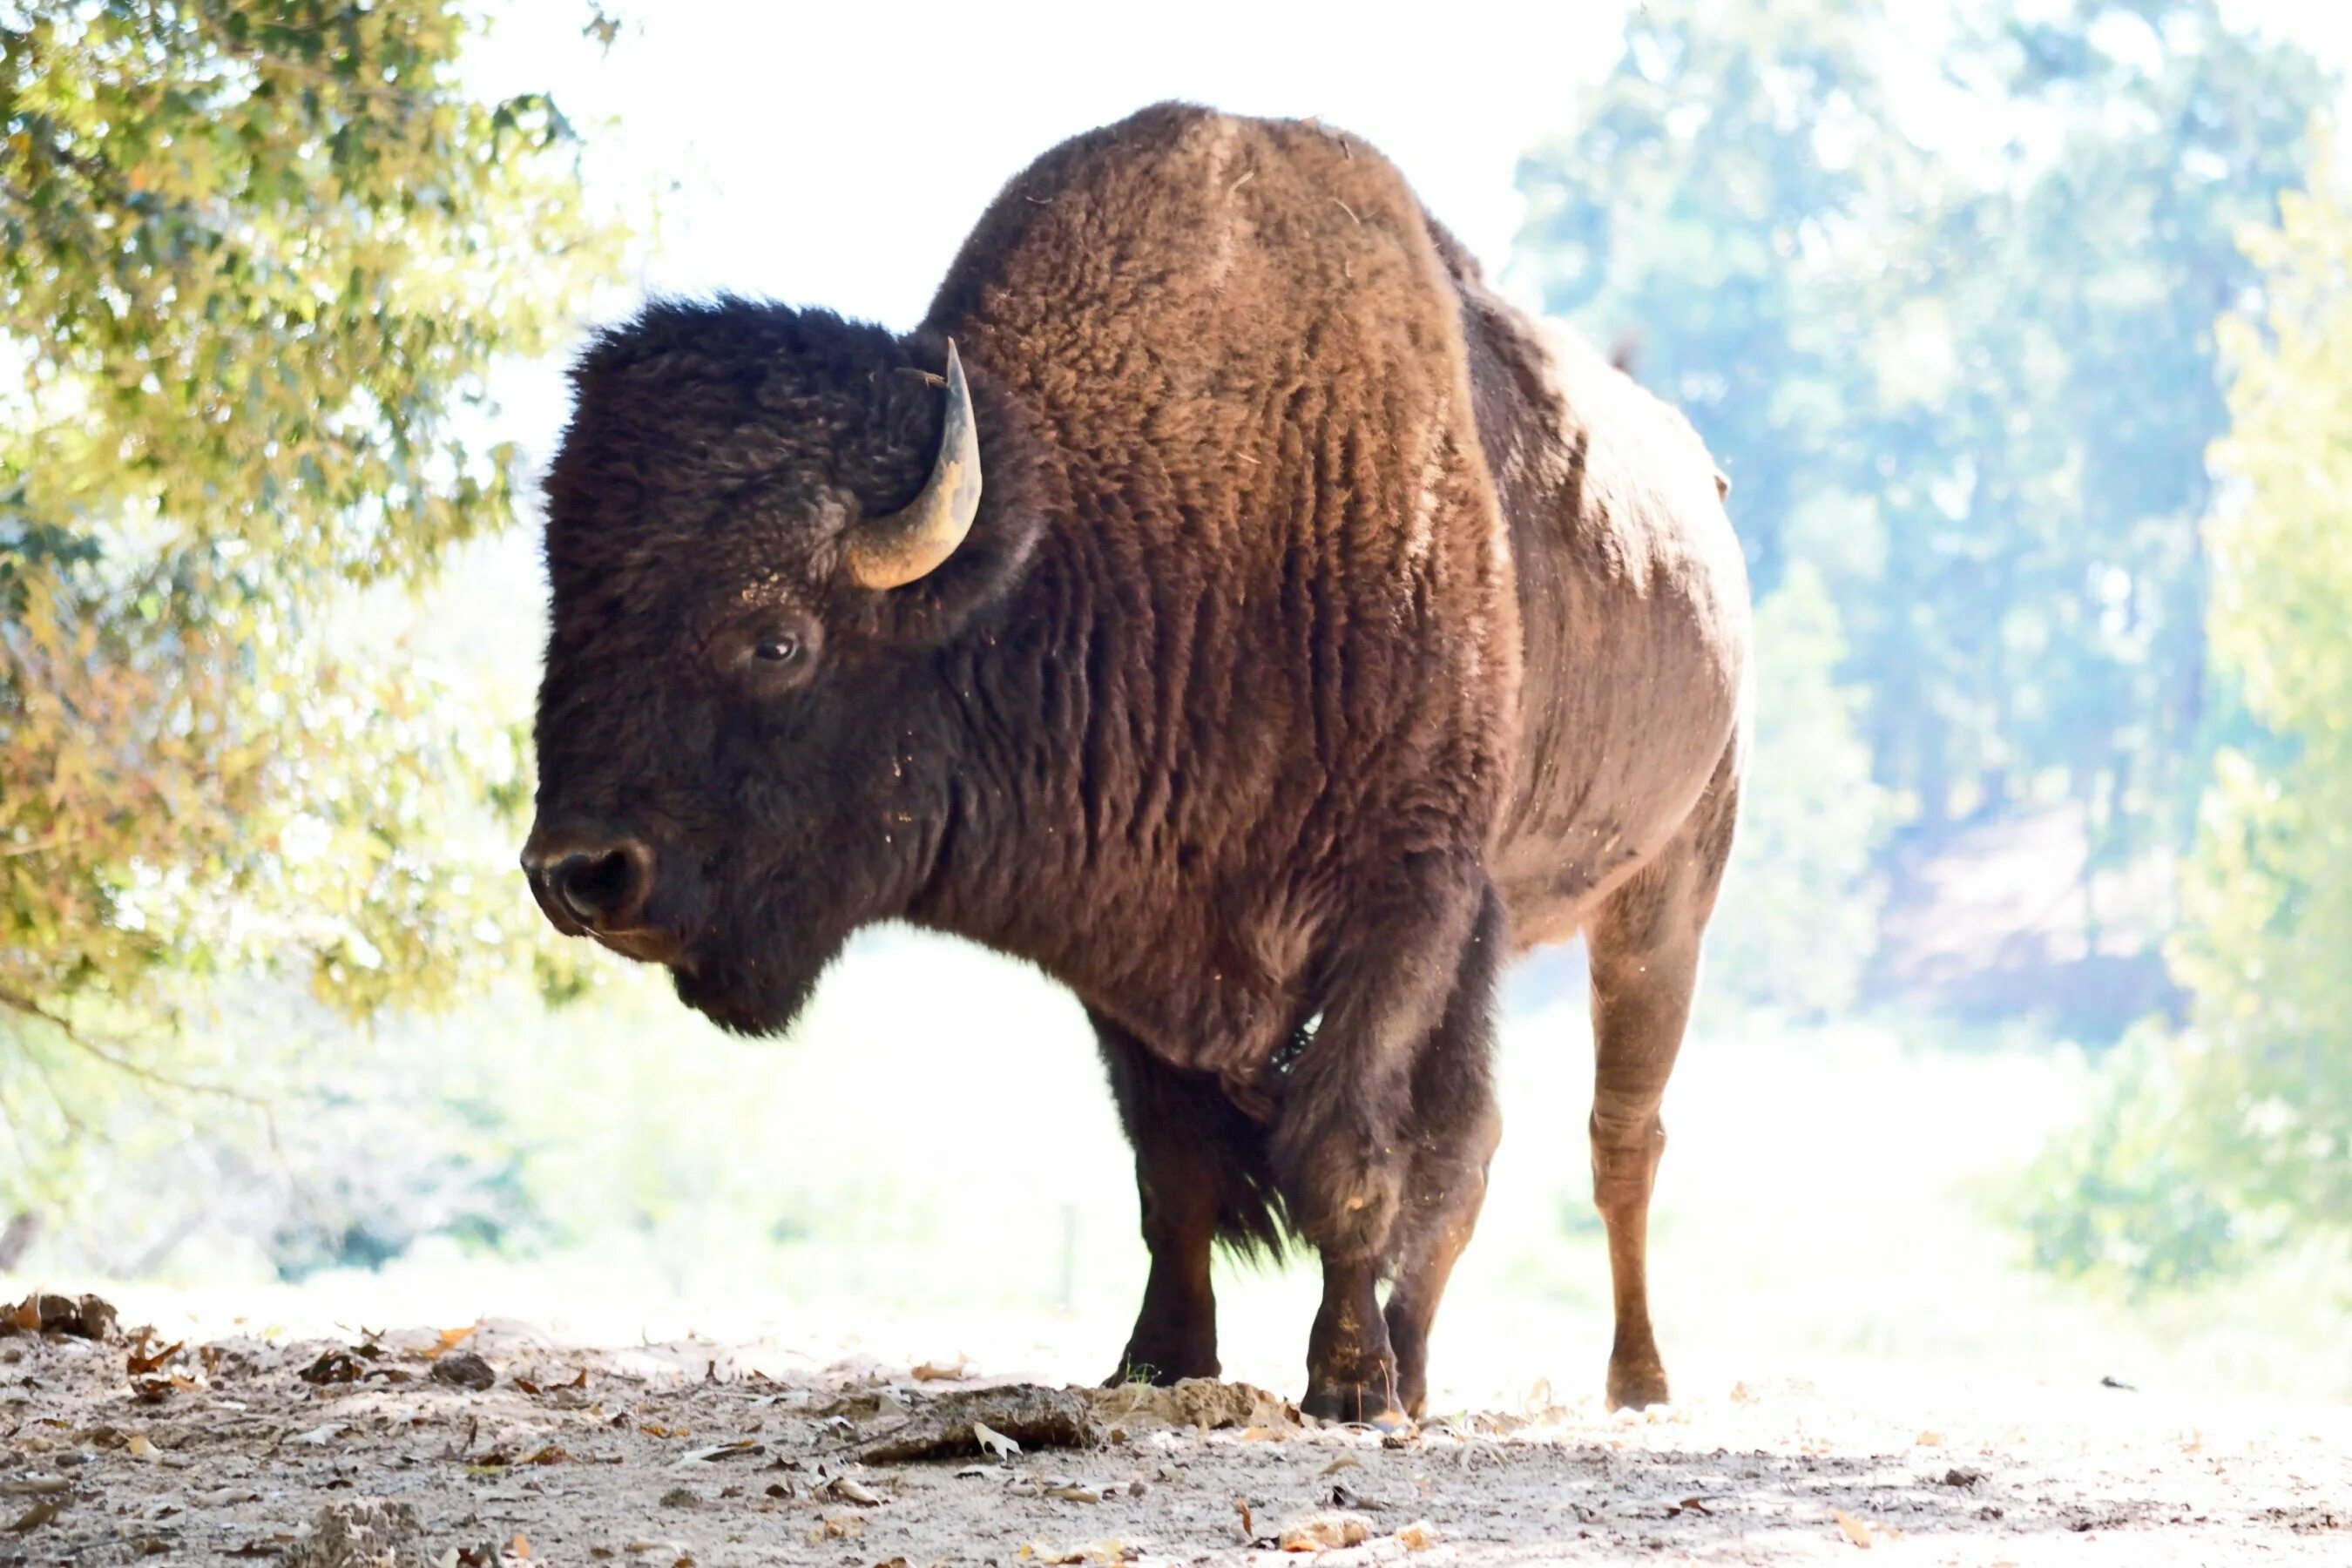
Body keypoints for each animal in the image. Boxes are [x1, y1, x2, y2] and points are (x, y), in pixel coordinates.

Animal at [529, 101, 1749, 1419]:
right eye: (564, 605)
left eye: (776, 638)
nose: (579, 872)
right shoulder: (1133, 944)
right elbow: (1175, 1175)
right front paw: (1161, 1361)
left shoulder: (1410, 908)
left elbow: (1349, 1152)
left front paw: (1348, 1386)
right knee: (1479, 1154)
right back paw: (1428, 1368)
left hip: (1666, 894)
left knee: (1614, 1138)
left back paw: (1631, 1381)